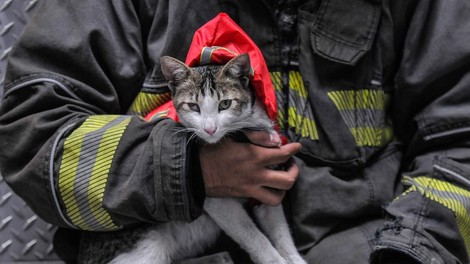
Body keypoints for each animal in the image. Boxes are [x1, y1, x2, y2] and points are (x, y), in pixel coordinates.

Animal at [110, 53, 308, 264]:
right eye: (193, 106)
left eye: (225, 104)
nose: (210, 129)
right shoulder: (216, 200)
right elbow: (252, 235)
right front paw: (274, 259)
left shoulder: (268, 181)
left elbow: (280, 230)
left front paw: (294, 258)